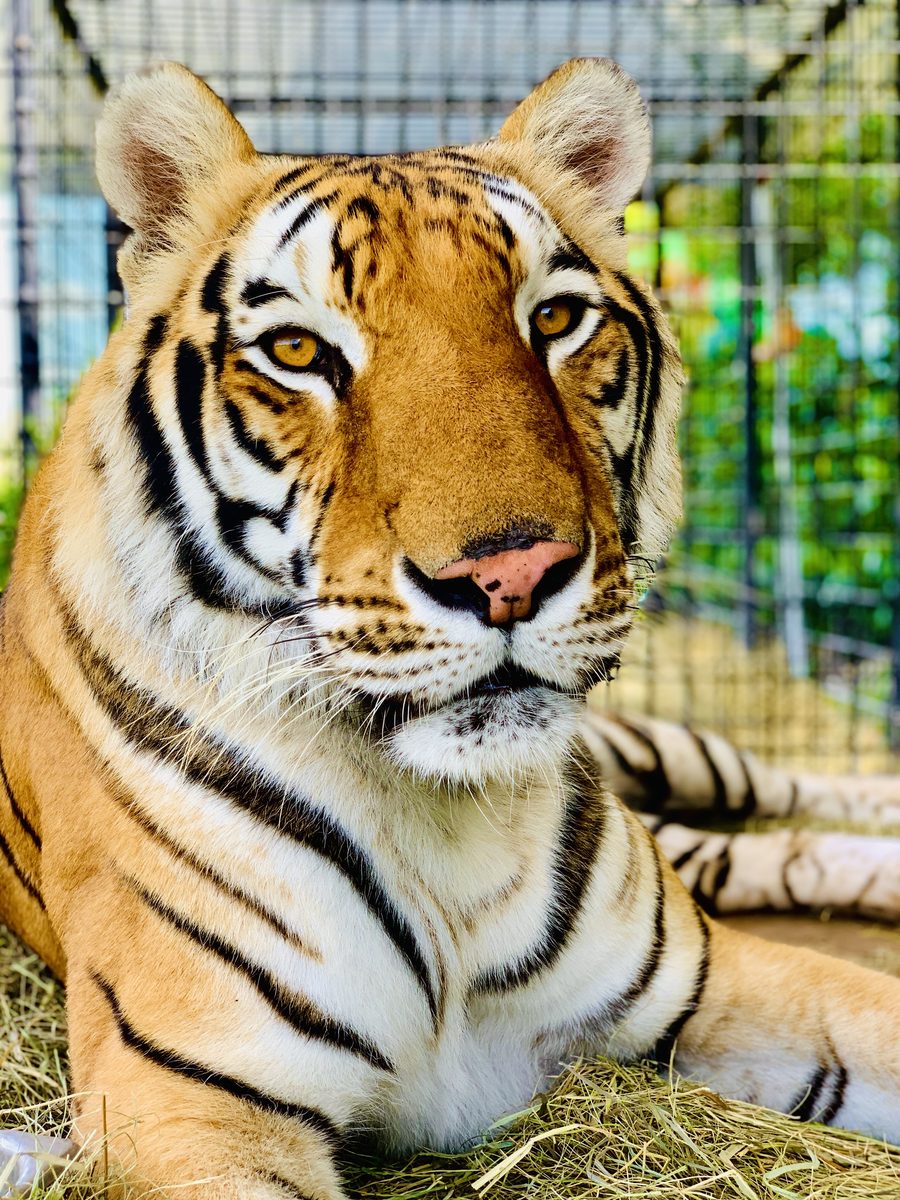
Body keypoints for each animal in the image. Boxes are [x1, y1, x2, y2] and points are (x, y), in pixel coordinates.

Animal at [2, 56, 900, 1200]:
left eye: (554, 319)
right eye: (297, 349)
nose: (510, 575)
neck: (449, 832)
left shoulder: (717, 975)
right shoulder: (195, 1103)